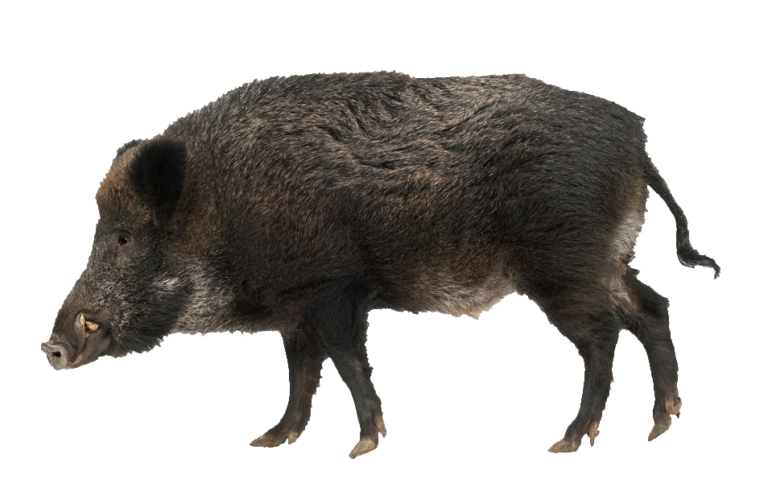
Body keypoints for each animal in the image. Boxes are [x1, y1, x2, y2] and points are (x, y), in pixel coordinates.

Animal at [41, 72, 720, 457]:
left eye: (123, 239)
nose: (52, 344)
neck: (223, 208)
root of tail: (635, 142)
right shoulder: (297, 310)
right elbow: (302, 372)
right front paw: (270, 441)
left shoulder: (331, 288)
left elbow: (345, 360)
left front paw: (363, 447)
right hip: (607, 260)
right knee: (652, 308)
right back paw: (661, 427)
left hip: (563, 264)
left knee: (604, 334)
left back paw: (567, 443)